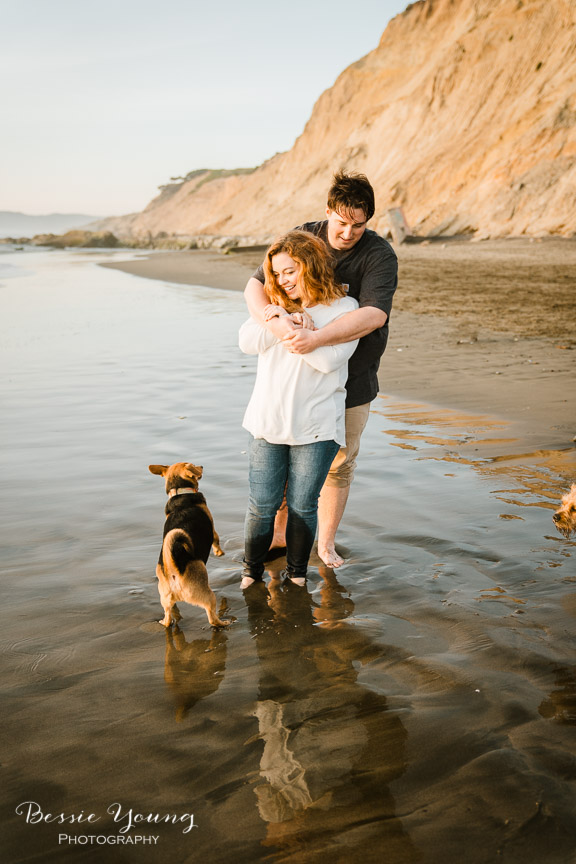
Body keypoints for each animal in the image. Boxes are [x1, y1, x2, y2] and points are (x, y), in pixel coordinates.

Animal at [148, 466, 230, 628]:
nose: (202, 467)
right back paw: (223, 622)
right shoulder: (213, 529)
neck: (179, 493)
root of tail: (174, 570)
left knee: (168, 617)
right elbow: (216, 540)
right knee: (212, 618)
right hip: (208, 596)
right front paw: (219, 552)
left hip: (165, 599)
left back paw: (164, 621)